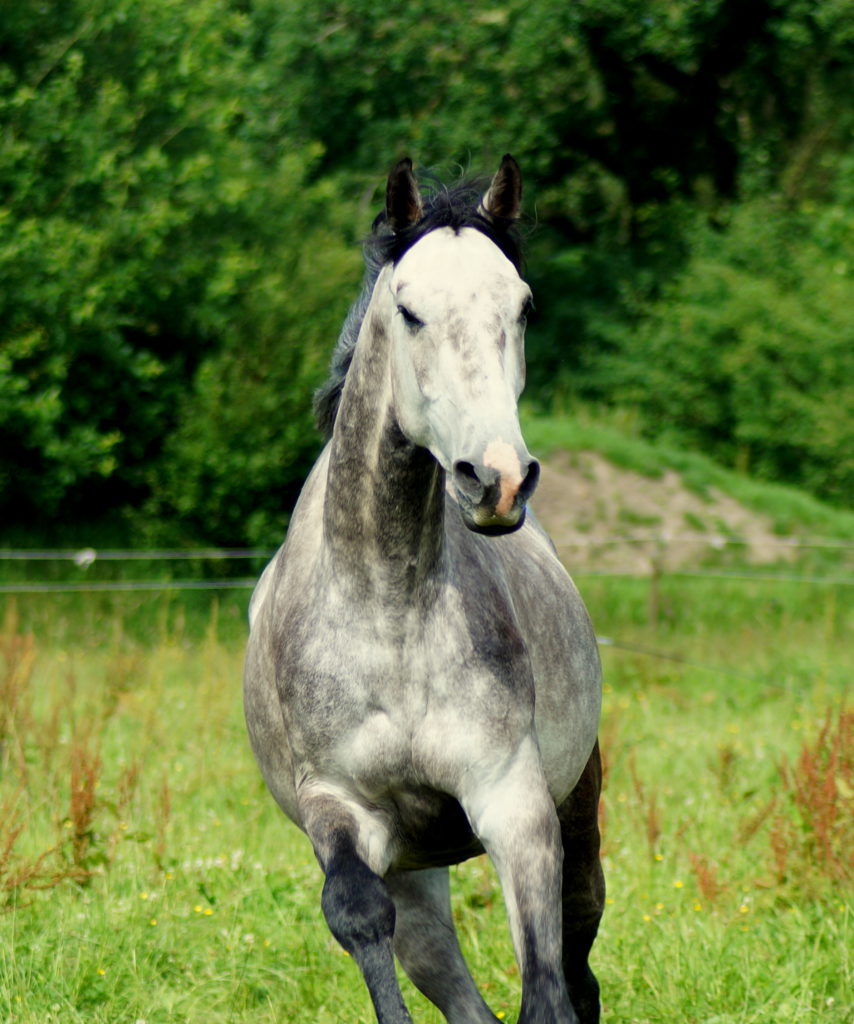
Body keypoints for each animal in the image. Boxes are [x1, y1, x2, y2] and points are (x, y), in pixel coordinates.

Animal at [243, 155, 605, 1024]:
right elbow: (356, 916)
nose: (496, 479)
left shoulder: (513, 801)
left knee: (579, 960)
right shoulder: (338, 807)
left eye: (523, 305)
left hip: (575, 813)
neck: (389, 610)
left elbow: (547, 990)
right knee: (454, 985)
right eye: (409, 311)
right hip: (416, 878)